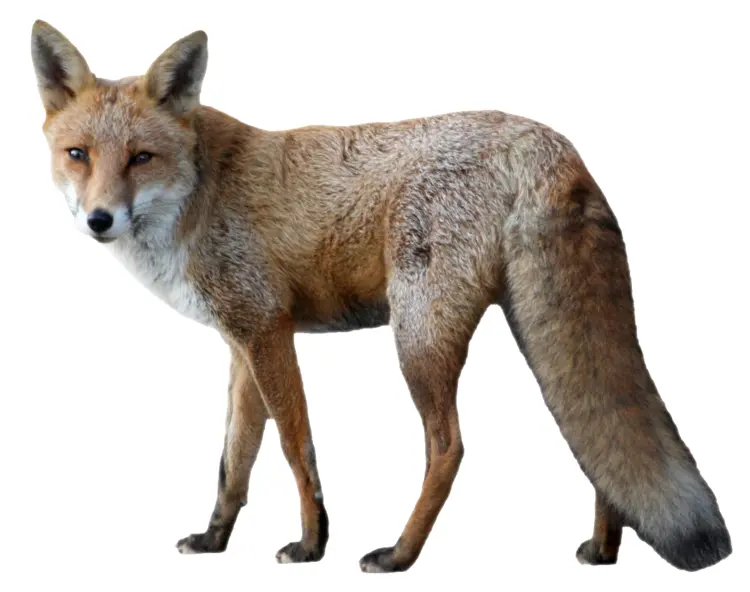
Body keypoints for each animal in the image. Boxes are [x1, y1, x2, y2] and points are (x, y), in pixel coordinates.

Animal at [30, 19, 732, 573]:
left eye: (141, 157)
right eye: (78, 155)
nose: (99, 220)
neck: (199, 194)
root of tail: (547, 142)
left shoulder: (267, 330)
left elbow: (295, 446)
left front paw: (312, 544)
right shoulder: (241, 342)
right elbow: (234, 460)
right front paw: (214, 540)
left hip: (418, 337)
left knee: (450, 448)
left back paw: (400, 554)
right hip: (534, 332)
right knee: (591, 440)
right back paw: (603, 550)